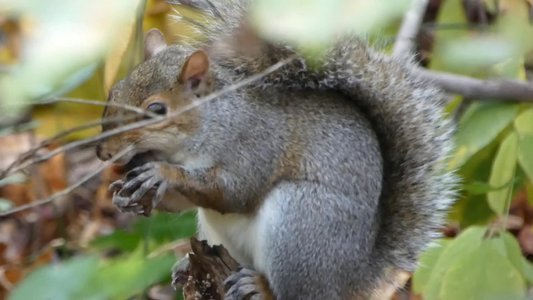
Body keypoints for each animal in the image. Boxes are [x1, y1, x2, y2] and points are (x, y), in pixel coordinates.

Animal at [94, 0, 454, 298]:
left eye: (156, 110)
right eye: (113, 92)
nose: (103, 153)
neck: (209, 122)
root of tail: (350, 282)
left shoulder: (255, 143)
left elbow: (233, 192)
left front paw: (162, 173)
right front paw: (126, 196)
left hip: (301, 223)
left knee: (296, 293)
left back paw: (259, 286)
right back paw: (186, 267)